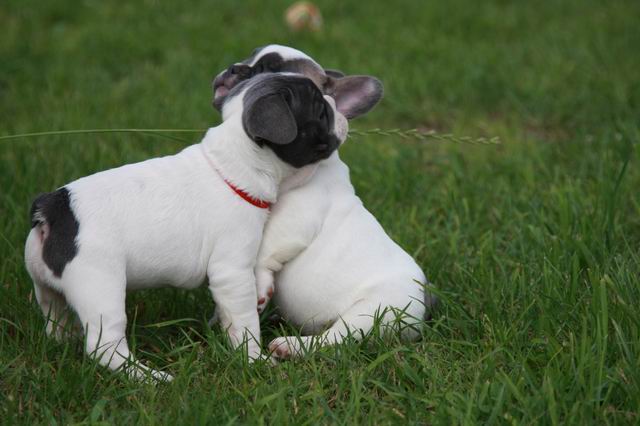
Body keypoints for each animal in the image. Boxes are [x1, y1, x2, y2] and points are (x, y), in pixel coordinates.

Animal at [25, 72, 348, 380]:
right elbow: (244, 321)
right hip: (100, 286)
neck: (234, 164)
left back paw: (63, 345)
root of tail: (52, 208)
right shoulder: (232, 271)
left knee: (55, 317)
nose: (336, 104)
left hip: (46, 286)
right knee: (105, 347)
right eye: (320, 111)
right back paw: (149, 378)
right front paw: (254, 358)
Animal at [212, 45, 438, 360]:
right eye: (248, 58)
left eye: (270, 70)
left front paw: (260, 287)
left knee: (337, 339)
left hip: (373, 314)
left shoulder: (295, 219)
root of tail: (424, 301)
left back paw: (290, 346)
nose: (234, 68)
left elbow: (266, 250)